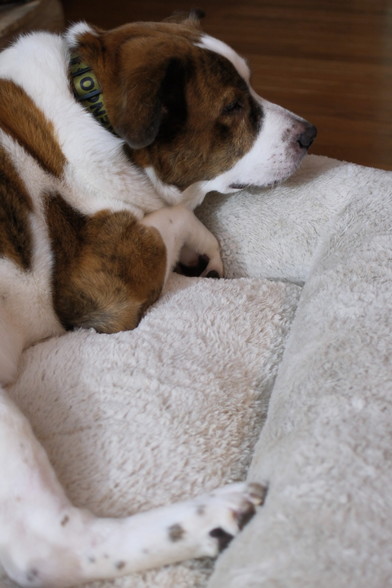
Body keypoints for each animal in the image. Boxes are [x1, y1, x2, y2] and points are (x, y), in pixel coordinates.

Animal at [0, 10, 314, 588]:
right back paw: (212, 516)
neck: (92, 110)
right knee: (50, 546)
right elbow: (172, 217)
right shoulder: (102, 284)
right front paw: (200, 248)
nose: (310, 134)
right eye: (233, 108)